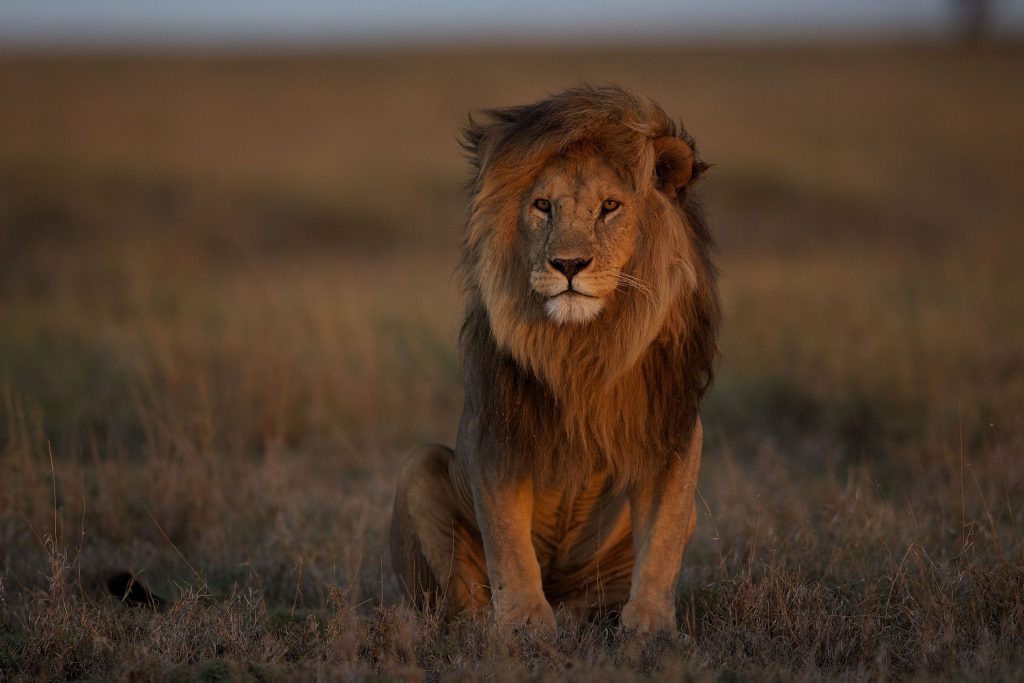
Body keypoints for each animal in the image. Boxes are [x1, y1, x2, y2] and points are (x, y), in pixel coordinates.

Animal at [391, 87, 720, 634]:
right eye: (543, 206)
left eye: (609, 207)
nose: (568, 265)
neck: (580, 348)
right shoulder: (495, 432)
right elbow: (508, 542)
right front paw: (524, 621)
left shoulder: (671, 430)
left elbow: (664, 535)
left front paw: (650, 622)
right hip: (420, 468)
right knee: (463, 596)